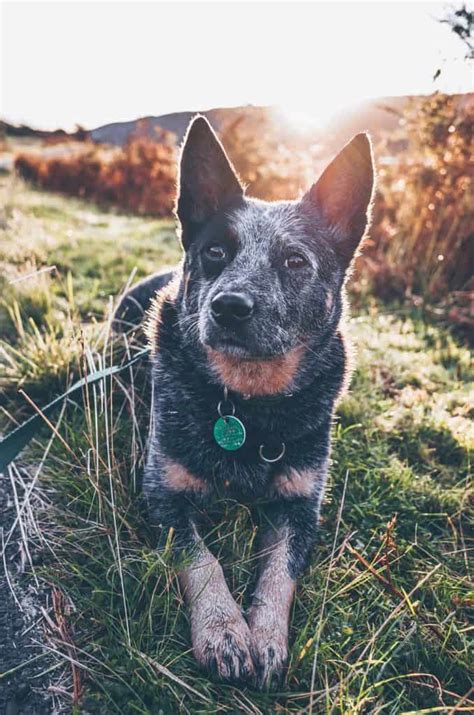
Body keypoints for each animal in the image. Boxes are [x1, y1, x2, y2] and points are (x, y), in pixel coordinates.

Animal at [114, 116, 374, 688]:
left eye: (295, 260)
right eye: (215, 251)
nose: (229, 306)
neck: (247, 405)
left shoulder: (301, 504)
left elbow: (279, 573)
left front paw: (267, 638)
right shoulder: (162, 493)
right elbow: (202, 559)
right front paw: (224, 631)